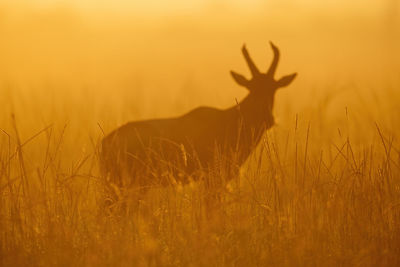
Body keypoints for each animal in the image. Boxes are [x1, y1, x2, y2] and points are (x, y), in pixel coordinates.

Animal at [101, 42, 296, 195]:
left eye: (274, 88)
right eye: (251, 87)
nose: (269, 119)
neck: (227, 119)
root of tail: (106, 142)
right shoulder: (212, 180)